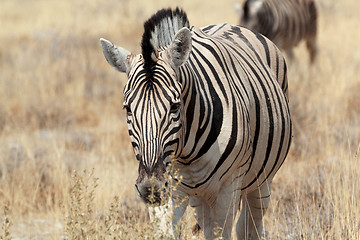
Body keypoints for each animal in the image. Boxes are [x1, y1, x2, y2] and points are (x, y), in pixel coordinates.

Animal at [100, 7, 292, 240]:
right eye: (128, 109)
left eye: (175, 106)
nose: (150, 188)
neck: (186, 154)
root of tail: (230, 24)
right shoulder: (170, 192)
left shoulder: (228, 189)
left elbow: (224, 233)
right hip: (200, 196)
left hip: (261, 181)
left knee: (248, 227)